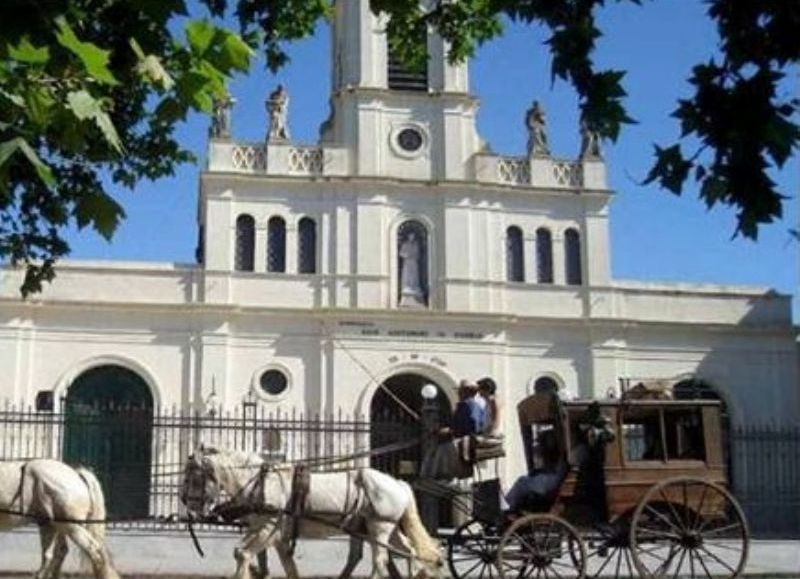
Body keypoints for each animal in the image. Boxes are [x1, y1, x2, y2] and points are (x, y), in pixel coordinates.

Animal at [181, 450, 444, 579]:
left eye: (194, 478)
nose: (188, 504)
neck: (260, 482)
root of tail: (399, 483)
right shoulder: (276, 535)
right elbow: (288, 567)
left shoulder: (268, 529)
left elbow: (242, 553)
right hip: (387, 528)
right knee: (409, 551)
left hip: (379, 528)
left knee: (380, 562)